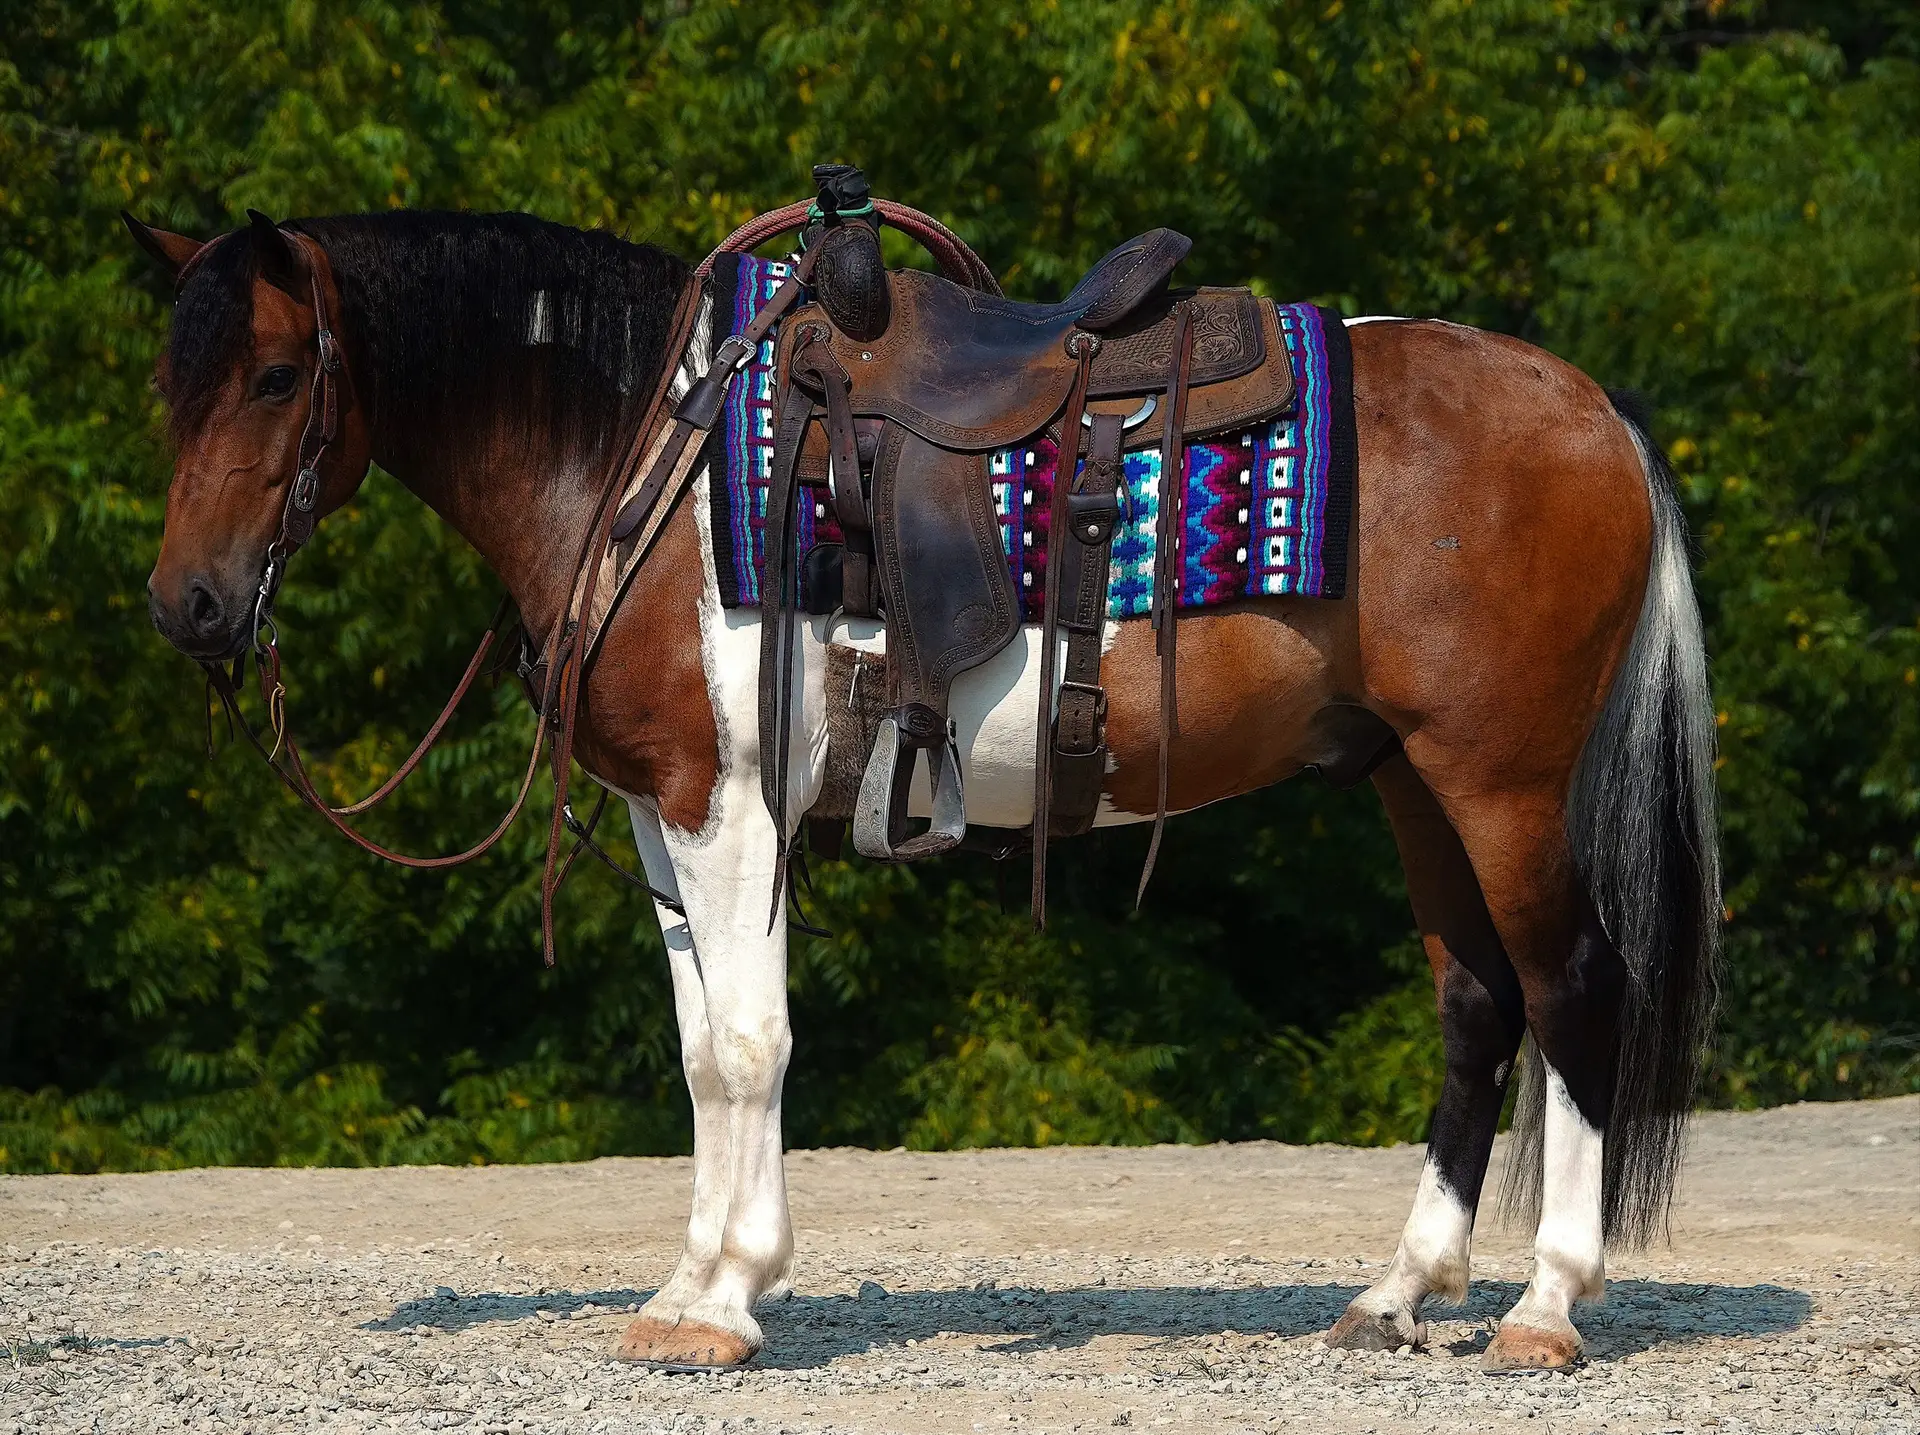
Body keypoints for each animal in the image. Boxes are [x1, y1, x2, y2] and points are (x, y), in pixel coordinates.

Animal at [123, 205, 1719, 1373]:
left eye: (276, 376)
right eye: (168, 385)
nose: (188, 607)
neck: (646, 450)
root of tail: (1595, 409)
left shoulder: (731, 805)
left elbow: (750, 1045)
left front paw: (729, 1300)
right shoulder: (663, 813)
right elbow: (701, 1050)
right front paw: (685, 1285)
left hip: (1501, 782)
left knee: (1573, 989)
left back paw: (1545, 1306)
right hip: (1412, 782)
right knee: (1477, 1003)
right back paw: (1399, 1293)